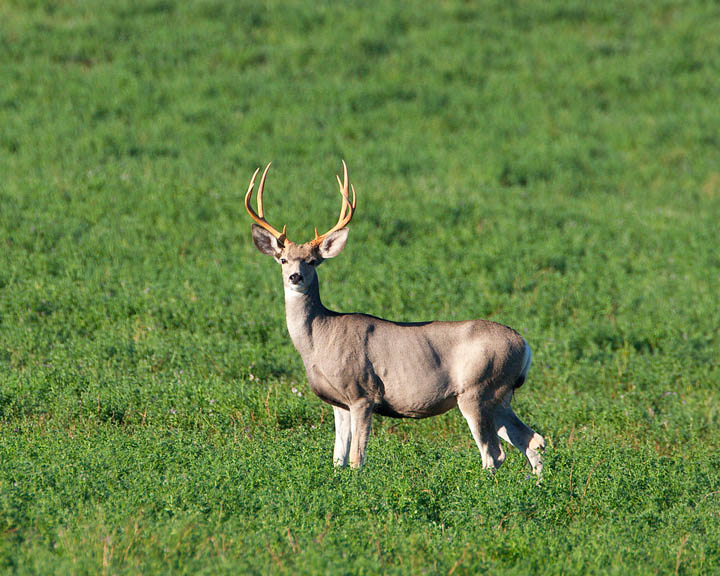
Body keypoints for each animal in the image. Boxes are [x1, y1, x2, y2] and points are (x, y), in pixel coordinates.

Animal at [245, 163, 544, 476]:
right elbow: (337, 460)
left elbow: (356, 459)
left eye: (313, 261)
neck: (319, 339)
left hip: (478, 390)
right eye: (283, 259)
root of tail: (524, 344)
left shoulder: (363, 393)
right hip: (500, 396)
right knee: (532, 440)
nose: (295, 277)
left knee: (494, 454)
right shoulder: (339, 403)